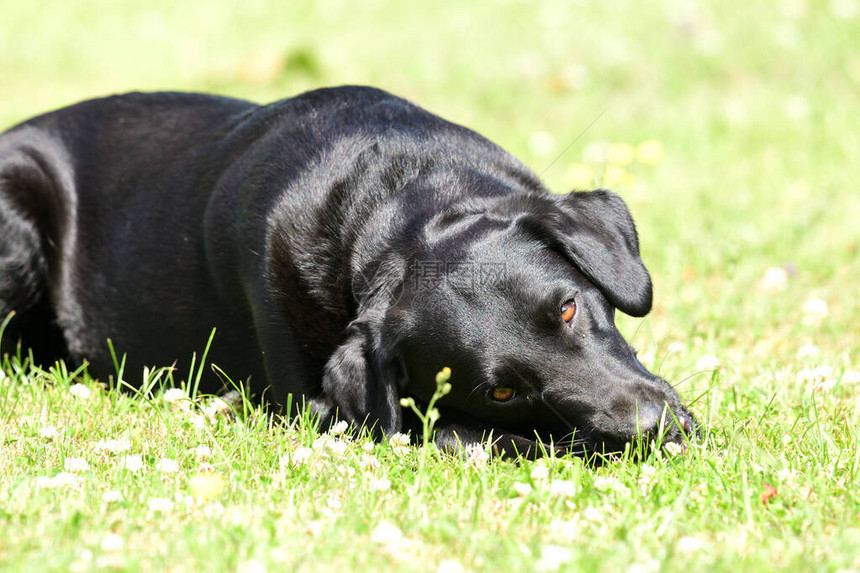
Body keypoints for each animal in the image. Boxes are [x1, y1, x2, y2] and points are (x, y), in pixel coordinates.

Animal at [0, 86, 696, 456]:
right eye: (500, 392)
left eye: (568, 308)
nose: (656, 432)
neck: (392, 205)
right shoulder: (322, 409)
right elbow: (449, 432)